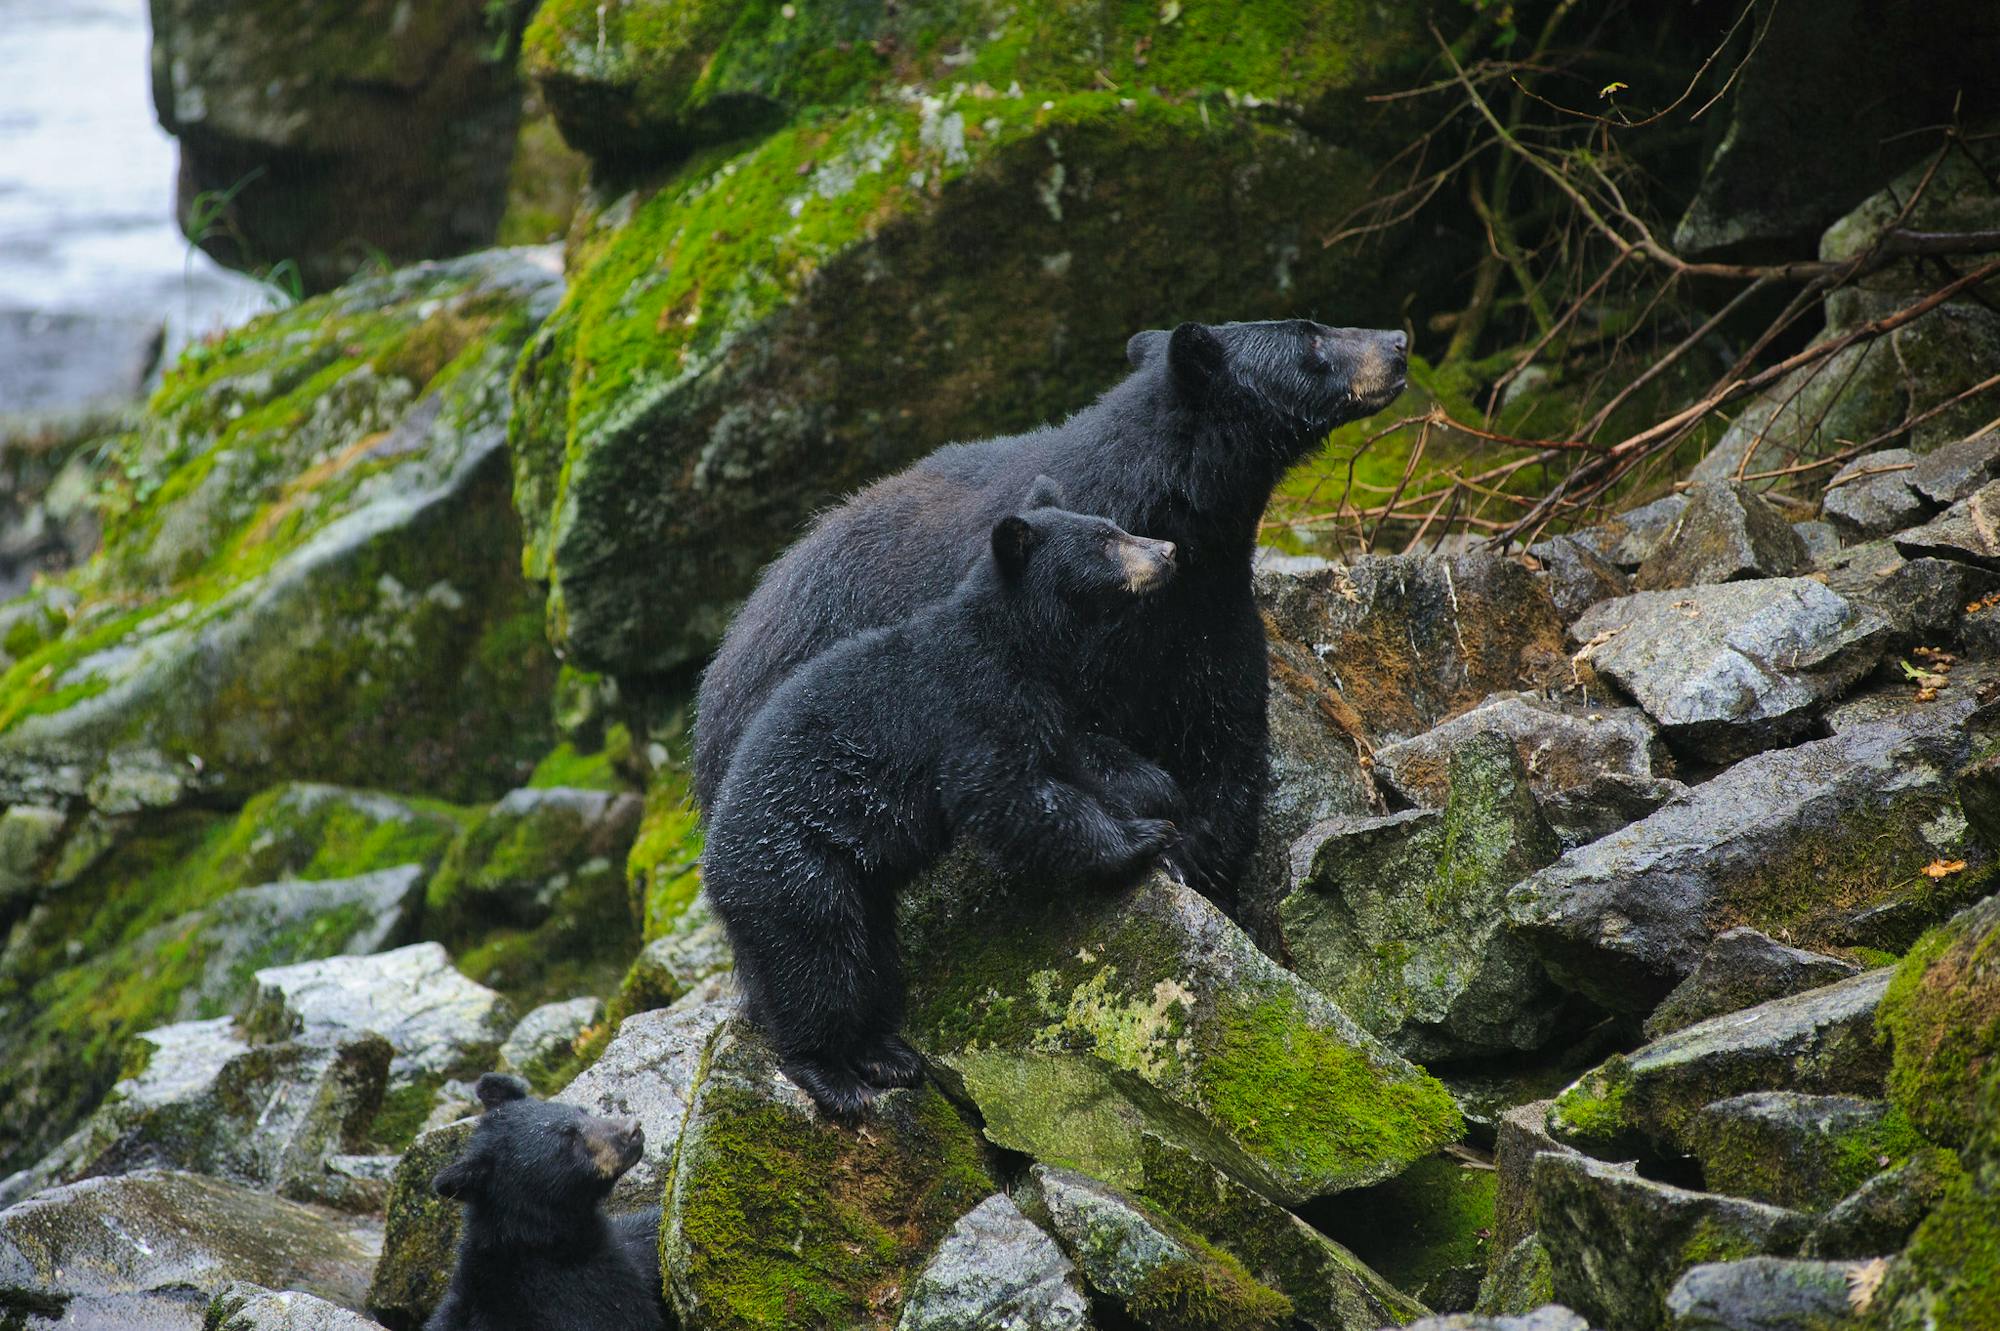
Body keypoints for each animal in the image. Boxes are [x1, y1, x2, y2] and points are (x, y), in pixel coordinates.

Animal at [696, 319, 1416, 911]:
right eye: (1311, 337)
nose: (1400, 340)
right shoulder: (1032, 640)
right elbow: (1068, 735)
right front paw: (1151, 815)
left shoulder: (1209, 606)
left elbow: (1225, 734)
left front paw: (1200, 862)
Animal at [700, 487, 1176, 1119]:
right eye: (1105, 539)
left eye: (1114, 524)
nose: (1168, 549)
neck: (1017, 644)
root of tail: (712, 867)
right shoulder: (972, 708)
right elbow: (1004, 794)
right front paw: (1142, 839)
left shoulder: (1044, 706)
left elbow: (1074, 762)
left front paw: (1152, 802)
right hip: (792, 871)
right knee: (816, 964)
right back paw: (836, 1075)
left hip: (858, 891)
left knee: (872, 961)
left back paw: (886, 1053)